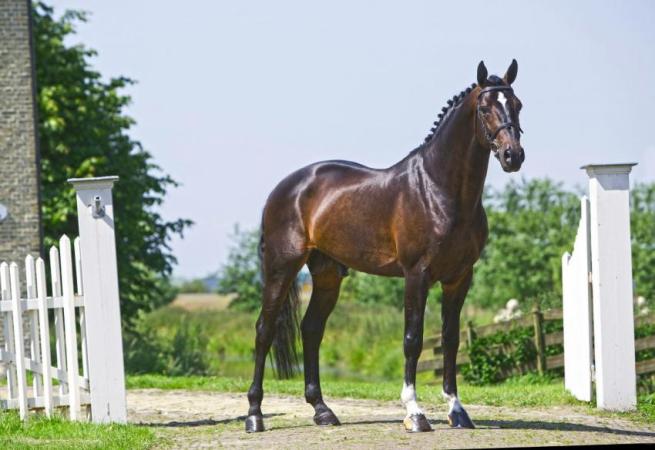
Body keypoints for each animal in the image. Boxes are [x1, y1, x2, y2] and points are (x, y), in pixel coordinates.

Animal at [245, 60, 525, 433]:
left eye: (517, 105)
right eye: (484, 108)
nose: (513, 156)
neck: (438, 189)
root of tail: (284, 188)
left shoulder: (459, 278)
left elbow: (450, 339)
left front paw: (457, 410)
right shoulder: (417, 275)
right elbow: (412, 339)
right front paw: (415, 413)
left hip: (327, 275)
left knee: (312, 330)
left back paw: (323, 411)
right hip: (281, 267)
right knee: (264, 330)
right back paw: (254, 415)